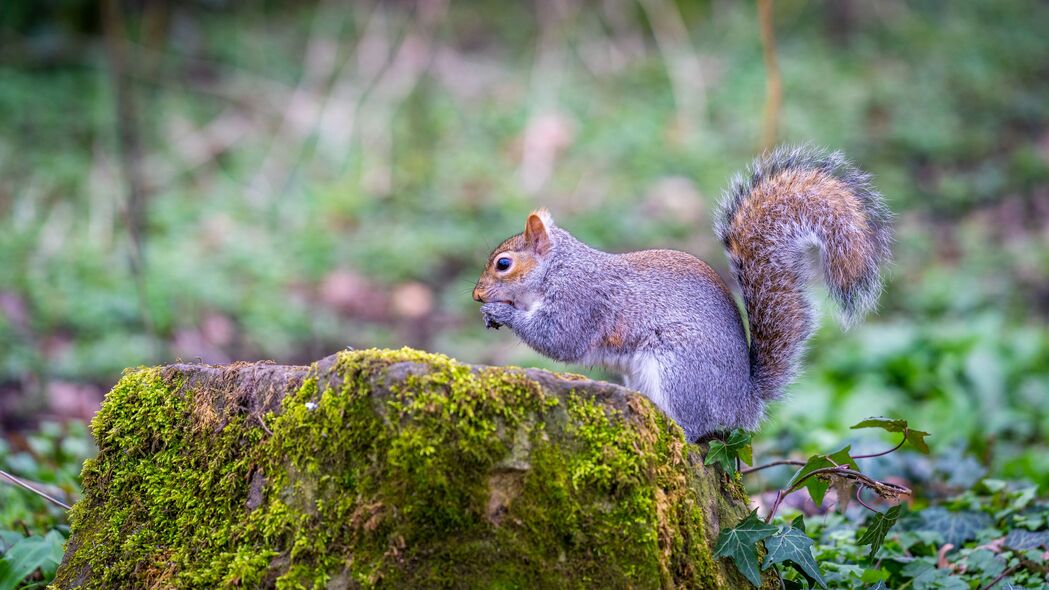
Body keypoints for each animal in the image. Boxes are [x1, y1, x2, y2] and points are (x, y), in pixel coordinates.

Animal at [476, 145, 893, 440]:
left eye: (503, 264)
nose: (478, 296)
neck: (557, 269)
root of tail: (744, 402)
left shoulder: (580, 300)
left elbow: (559, 340)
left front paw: (502, 312)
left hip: (678, 369)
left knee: (695, 430)